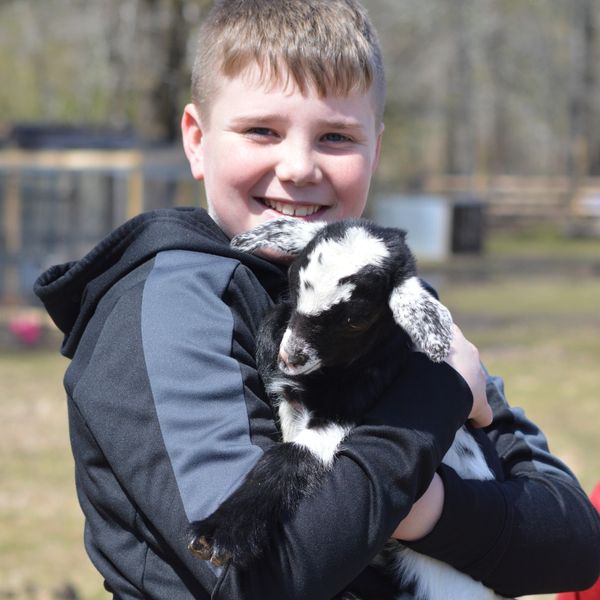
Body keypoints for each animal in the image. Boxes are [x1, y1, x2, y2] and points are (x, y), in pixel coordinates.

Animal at [189, 217, 506, 600]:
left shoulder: (348, 409)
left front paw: (221, 532)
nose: (290, 358)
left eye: (356, 319)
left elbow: (291, 456)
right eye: (292, 285)